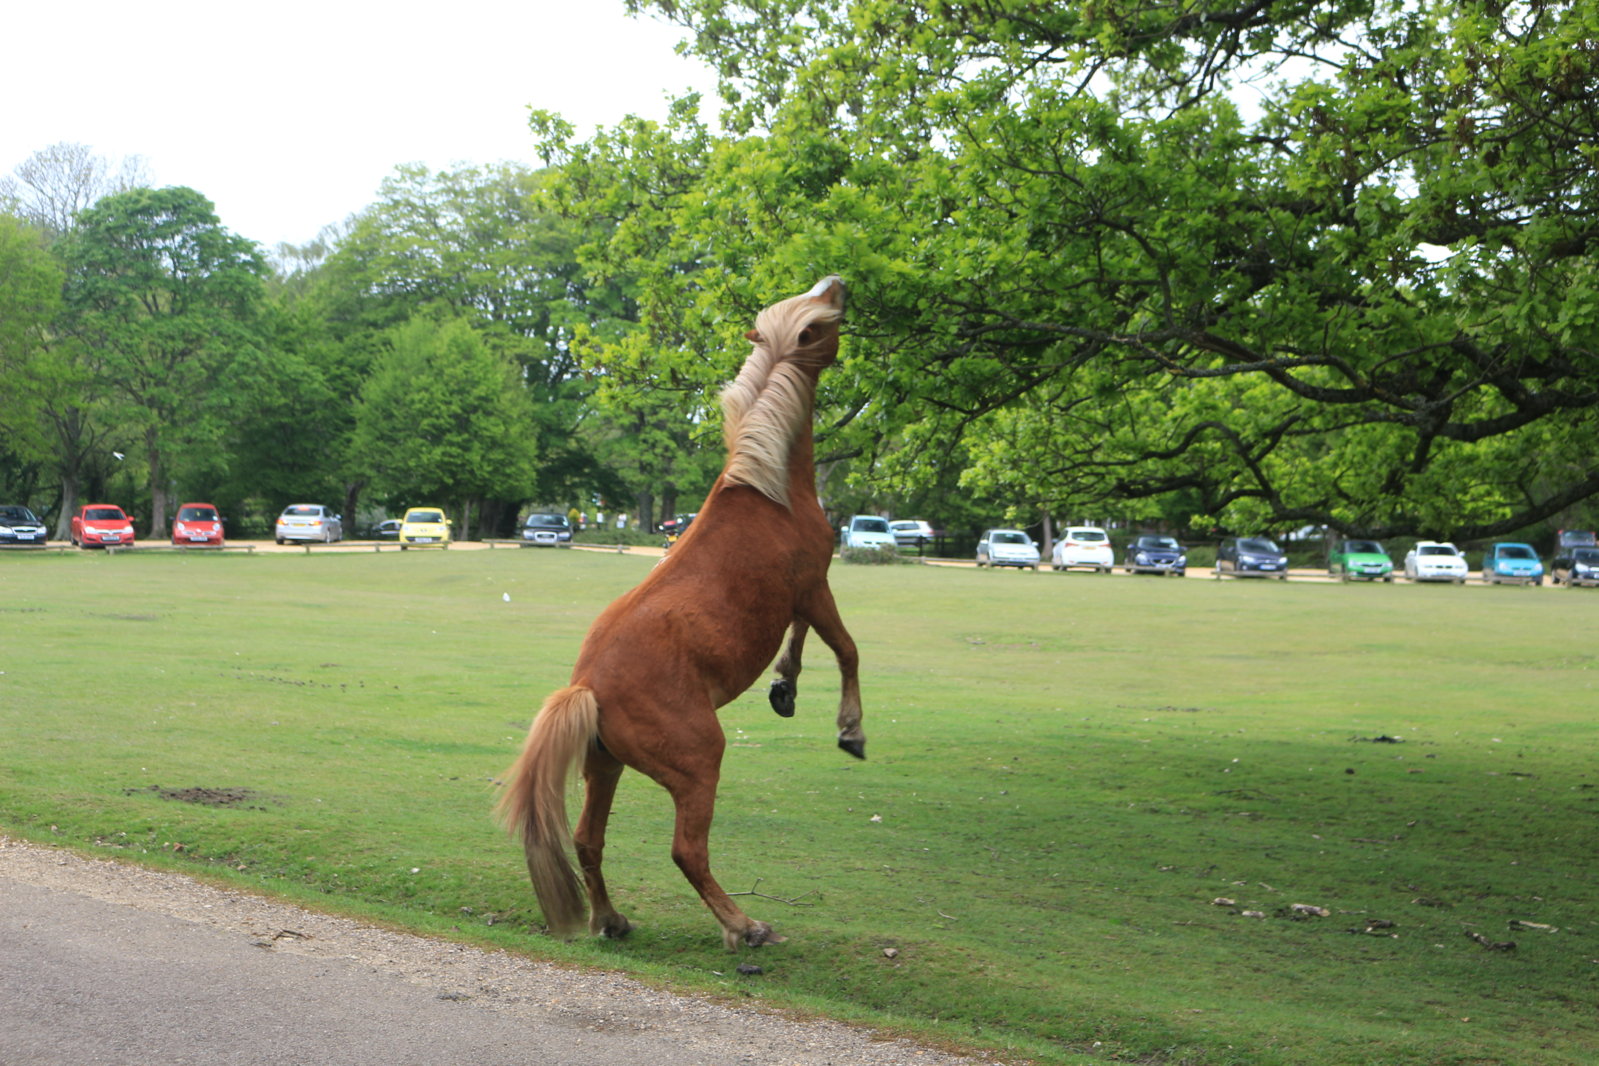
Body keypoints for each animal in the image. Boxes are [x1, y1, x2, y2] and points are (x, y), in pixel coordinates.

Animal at [495, 274, 863, 952]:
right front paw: (850, 731)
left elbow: (801, 642)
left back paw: (610, 919)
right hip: (698, 763)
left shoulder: (799, 598)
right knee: (687, 850)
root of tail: (587, 686)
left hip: (604, 765)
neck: (768, 493)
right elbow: (847, 649)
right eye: (818, 320)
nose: (837, 281)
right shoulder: (814, 587)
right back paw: (743, 927)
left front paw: (785, 687)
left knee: (588, 840)